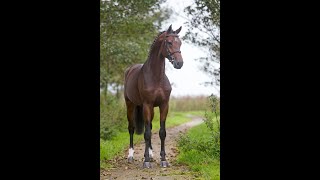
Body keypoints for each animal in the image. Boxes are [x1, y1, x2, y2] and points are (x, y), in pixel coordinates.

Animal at [123, 24, 182, 168]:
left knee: (148, 126)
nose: (179, 63)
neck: (156, 77)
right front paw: (146, 162)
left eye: (180, 43)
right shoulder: (147, 105)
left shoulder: (164, 105)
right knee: (132, 128)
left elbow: (161, 132)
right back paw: (131, 156)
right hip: (130, 105)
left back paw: (150, 154)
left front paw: (163, 160)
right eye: (169, 42)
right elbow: (147, 134)